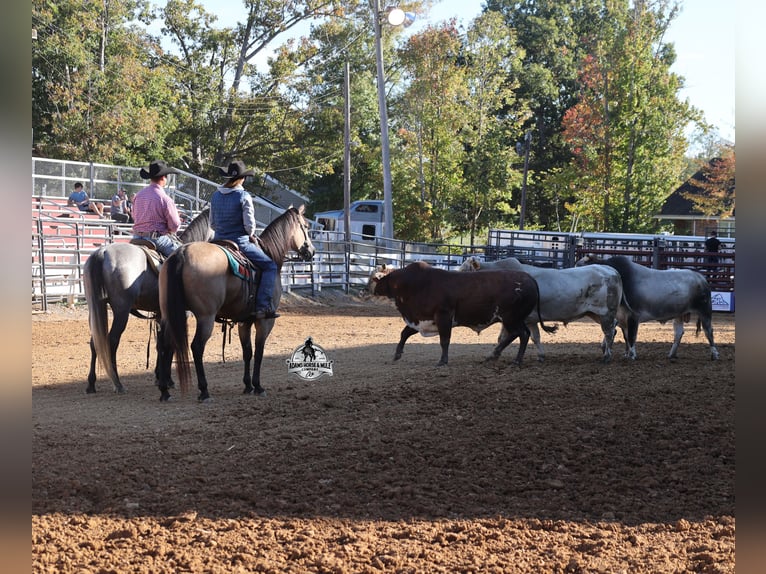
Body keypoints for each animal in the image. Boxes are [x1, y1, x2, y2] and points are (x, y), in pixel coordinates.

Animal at [83, 209, 213, 394]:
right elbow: (170, 342)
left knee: (95, 341)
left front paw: (161, 377)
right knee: (112, 340)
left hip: (95, 307)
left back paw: (91, 384)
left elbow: (161, 344)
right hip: (121, 310)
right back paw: (118, 383)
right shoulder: (180, 313)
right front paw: (167, 380)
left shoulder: (159, 314)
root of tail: (102, 253)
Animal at [157, 205, 316, 401]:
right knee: (197, 347)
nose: (312, 251)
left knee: (164, 344)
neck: (270, 253)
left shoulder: (244, 320)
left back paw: (164, 390)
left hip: (169, 313)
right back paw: (204, 391)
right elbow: (259, 351)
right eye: (306, 226)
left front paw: (248, 385)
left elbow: (247, 352)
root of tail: (182, 253)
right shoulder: (265, 320)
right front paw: (258, 386)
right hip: (205, 317)